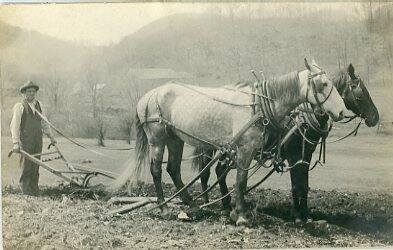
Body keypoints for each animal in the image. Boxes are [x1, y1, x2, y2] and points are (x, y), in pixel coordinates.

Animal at [191, 63, 378, 222]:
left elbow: (304, 185)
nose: (375, 117)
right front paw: (297, 215)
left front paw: (305, 214)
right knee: (209, 171)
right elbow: (296, 185)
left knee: (216, 170)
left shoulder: (305, 156)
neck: (302, 119)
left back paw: (223, 203)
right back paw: (214, 203)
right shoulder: (294, 156)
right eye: (361, 93)